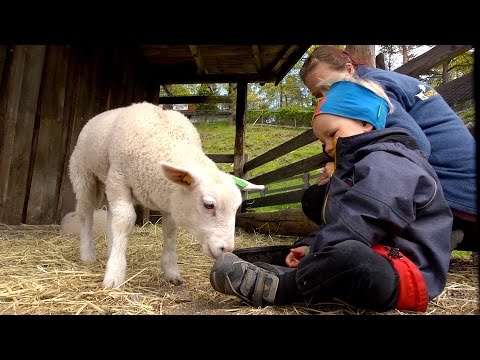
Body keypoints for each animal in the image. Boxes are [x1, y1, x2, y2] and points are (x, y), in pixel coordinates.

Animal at [69, 101, 242, 286]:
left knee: (111, 216)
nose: (226, 248)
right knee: (86, 213)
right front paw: (114, 275)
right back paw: (88, 255)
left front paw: (171, 271)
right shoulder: (119, 179)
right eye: (208, 205)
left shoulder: (170, 198)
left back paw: (111, 250)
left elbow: (170, 230)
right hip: (84, 175)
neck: (165, 138)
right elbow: (124, 221)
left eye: (236, 208)